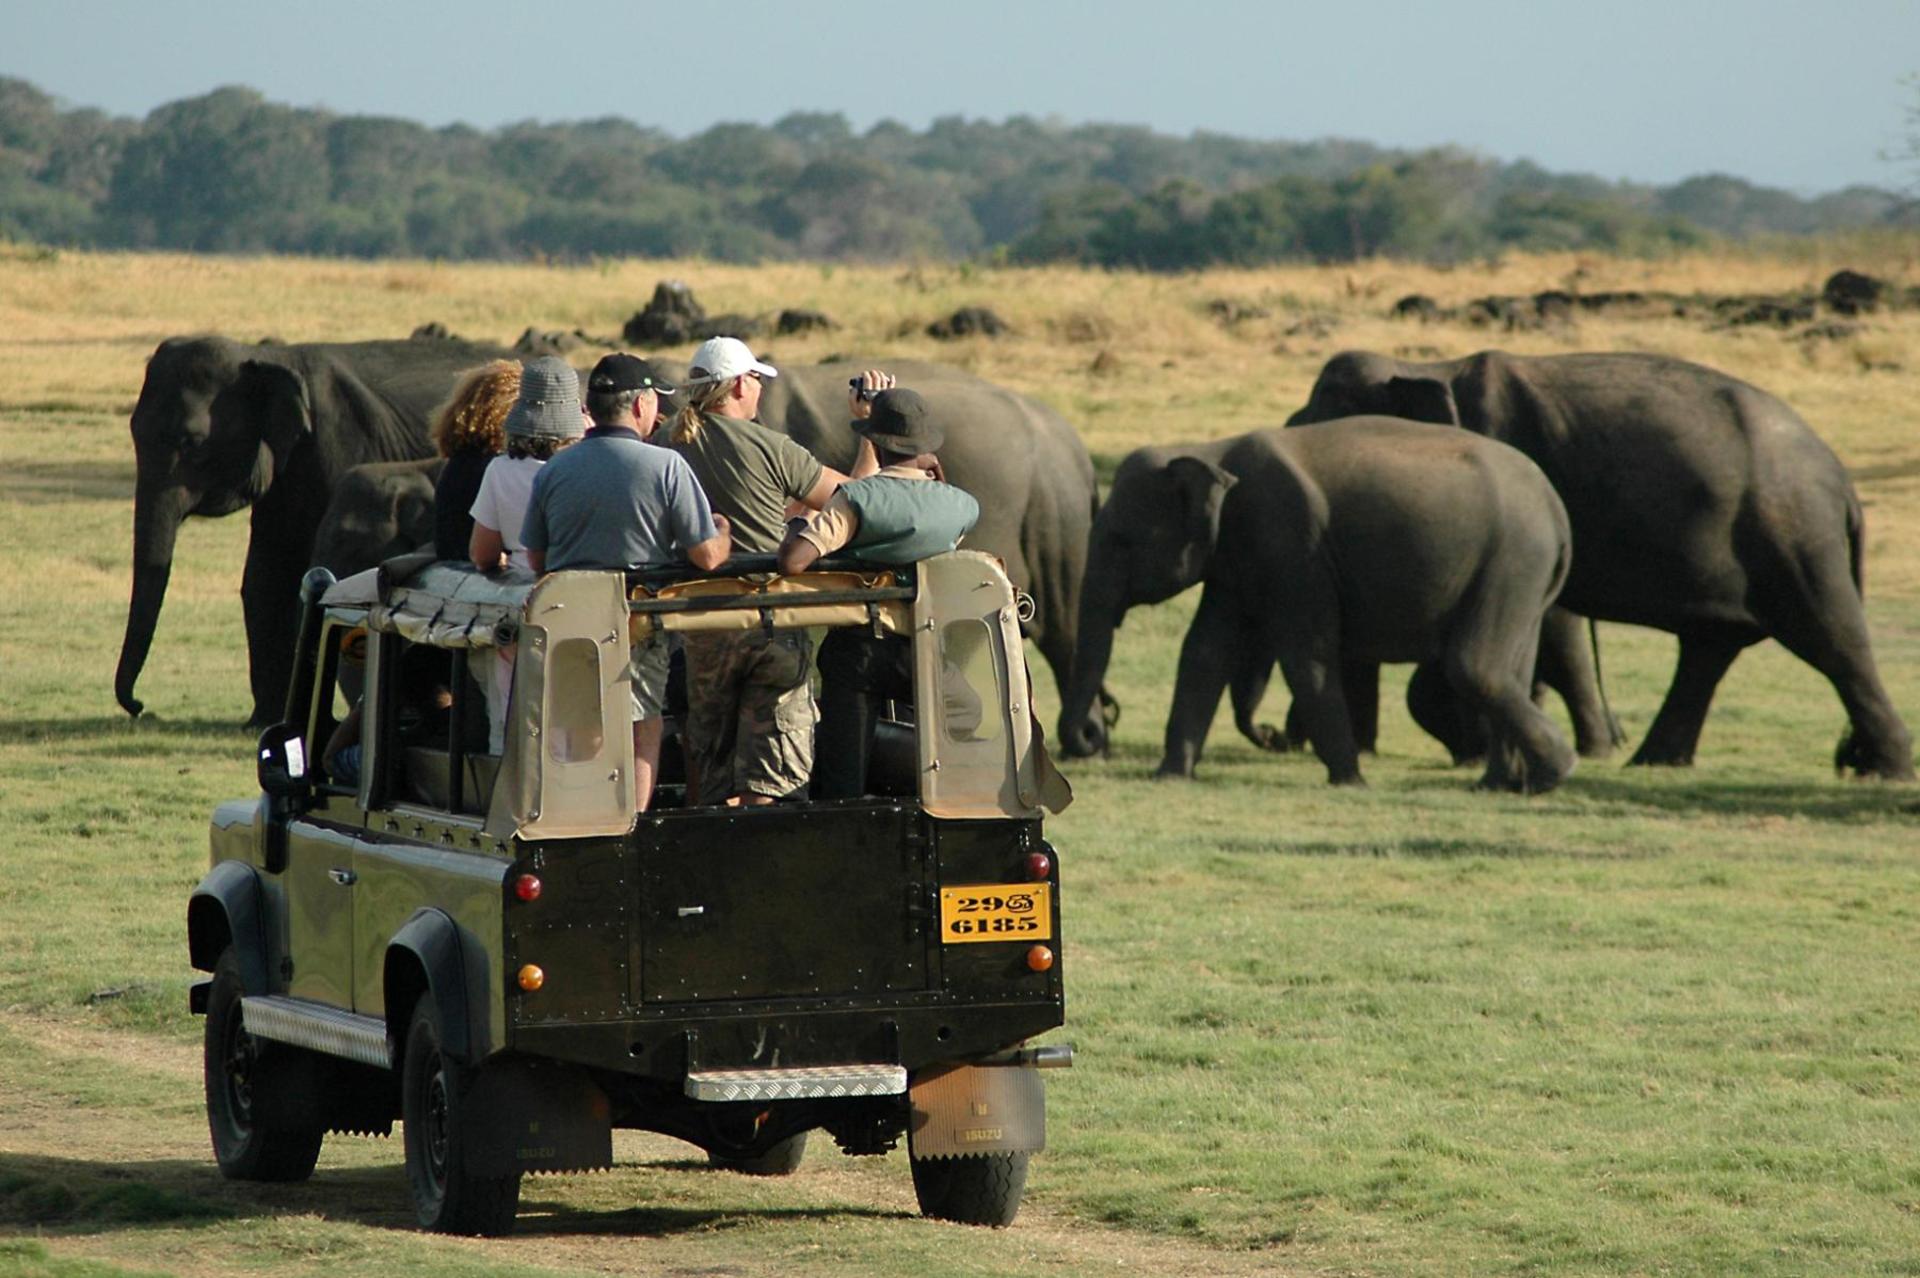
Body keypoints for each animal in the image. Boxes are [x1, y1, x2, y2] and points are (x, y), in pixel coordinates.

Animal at [116, 335, 509, 726]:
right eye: (133, 430)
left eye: (193, 443)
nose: (140, 707)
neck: (265, 356)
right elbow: (265, 575)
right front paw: (263, 723)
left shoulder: (340, 442)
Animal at [1057, 419, 1577, 792]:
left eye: (1121, 542)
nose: (1092, 735)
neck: (1210, 450)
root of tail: (1556, 509)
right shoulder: (1234, 560)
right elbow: (1203, 652)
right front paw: (1169, 776)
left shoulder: (1292, 544)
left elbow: (1305, 656)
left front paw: (1350, 782)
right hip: (1523, 576)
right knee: (1514, 669)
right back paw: (1499, 785)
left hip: (1511, 560)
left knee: (1475, 666)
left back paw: (1555, 773)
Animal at [1287, 349, 1914, 780]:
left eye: (1324, 420)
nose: (1278, 739)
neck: (1429, 364)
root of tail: (1843, 482)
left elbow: (1555, 627)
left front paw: (1498, 746)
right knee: (1708, 649)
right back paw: (1653, 761)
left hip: (1793, 537)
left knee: (1832, 639)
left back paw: (1888, 770)